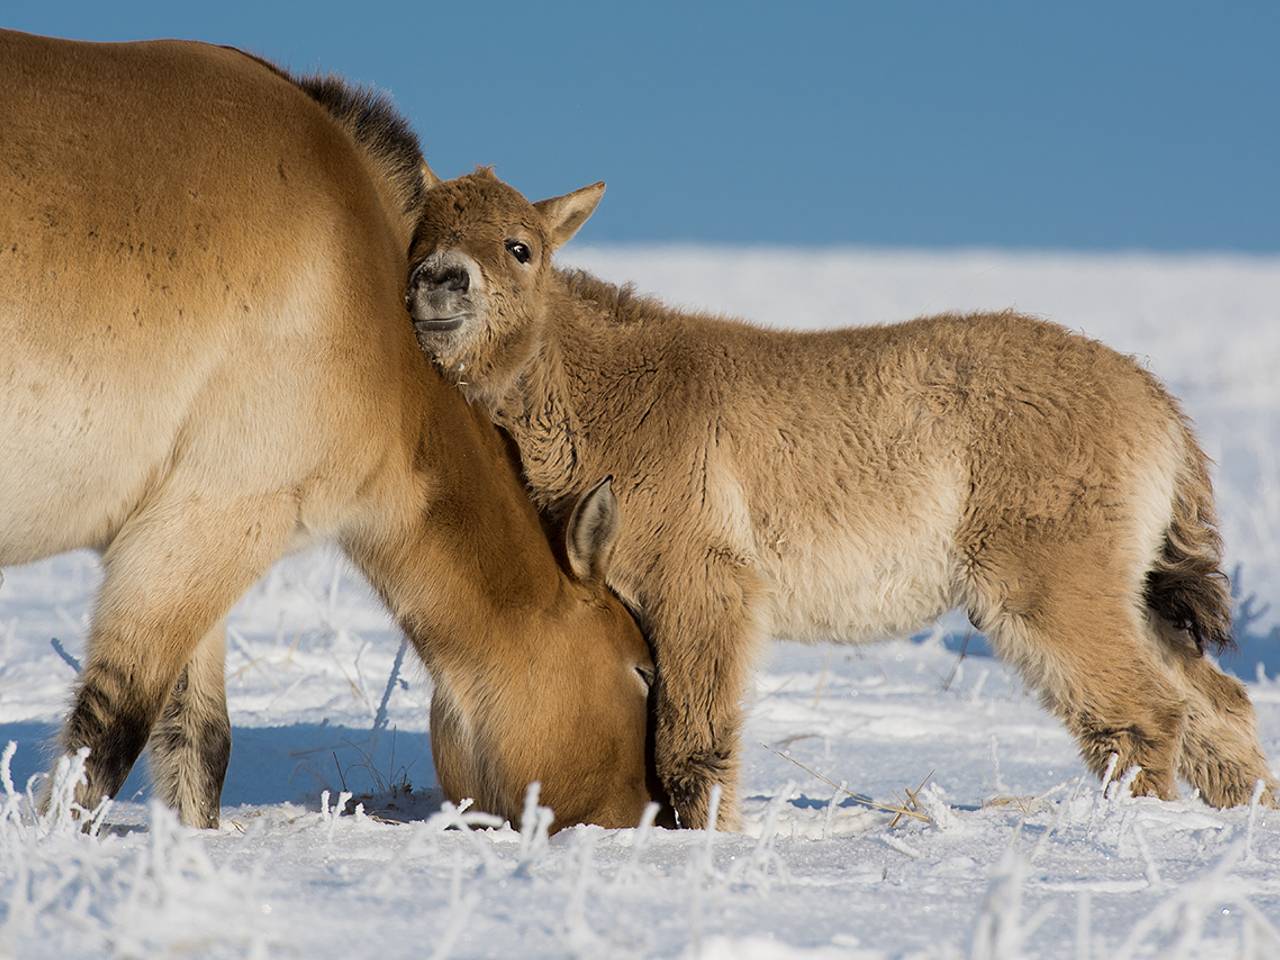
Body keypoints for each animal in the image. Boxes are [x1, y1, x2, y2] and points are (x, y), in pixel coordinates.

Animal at [0, 30, 665, 834]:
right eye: (641, 670)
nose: (654, 818)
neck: (367, 301)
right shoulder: (212, 520)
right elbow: (101, 748)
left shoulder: (185, 538)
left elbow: (197, 743)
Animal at [407, 168, 1269, 829]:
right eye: (417, 238)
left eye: (520, 247)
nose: (441, 281)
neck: (608, 389)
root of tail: (1158, 404)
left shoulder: (702, 582)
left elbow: (690, 743)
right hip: (1128, 589)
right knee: (1217, 706)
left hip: (1048, 581)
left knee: (1147, 711)